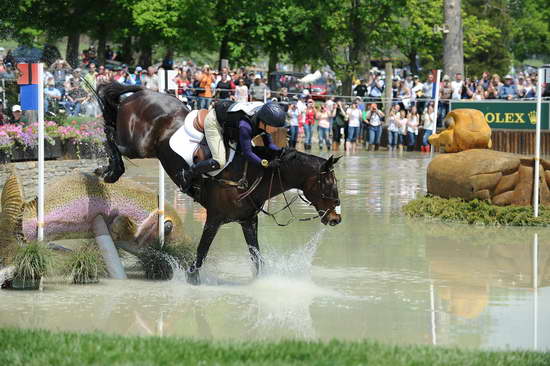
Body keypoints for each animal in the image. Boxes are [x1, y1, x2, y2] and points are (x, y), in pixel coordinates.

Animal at [97, 82, 342, 284]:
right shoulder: (214, 218)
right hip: (138, 146)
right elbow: (200, 255)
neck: (251, 176)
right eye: (328, 185)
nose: (336, 218)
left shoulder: (248, 221)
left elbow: (257, 259)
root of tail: (142, 92)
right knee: (110, 136)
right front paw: (192, 281)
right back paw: (111, 170)